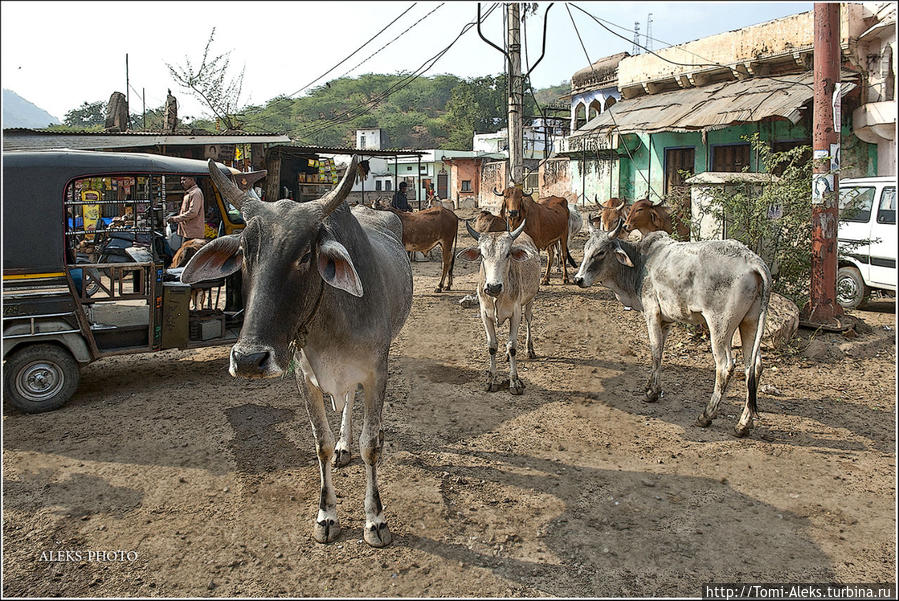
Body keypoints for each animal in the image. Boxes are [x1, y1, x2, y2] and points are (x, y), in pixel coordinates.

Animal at [183, 154, 414, 544]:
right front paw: (327, 515)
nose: (249, 359)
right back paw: (343, 445)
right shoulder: (305, 378)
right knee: (348, 402)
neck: (330, 320)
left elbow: (370, 445)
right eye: (244, 252)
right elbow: (320, 443)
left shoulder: (375, 370)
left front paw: (375, 520)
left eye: (306, 254)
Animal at [458, 219, 540, 394]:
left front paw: (514, 382)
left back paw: (529, 349)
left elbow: (512, 345)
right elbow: (492, 346)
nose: (493, 287)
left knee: (528, 320)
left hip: (531, 299)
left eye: (508, 254)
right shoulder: (485, 315)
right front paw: (491, 380)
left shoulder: (515, 313)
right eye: (482, 255)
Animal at [576, 220, 772, 436]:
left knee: (725, 366)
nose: (578, 279)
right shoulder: (666, 320)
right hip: (750, 323)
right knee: (754, 367)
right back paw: (744, 424)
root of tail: (752, 260)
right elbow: (661, 351)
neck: (641, 262)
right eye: (585, 250)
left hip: (720, 326)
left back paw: (706, 416)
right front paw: (650, 386)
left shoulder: (652, 312)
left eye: (600, 252)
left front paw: (652, 393)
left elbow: (655, 351)